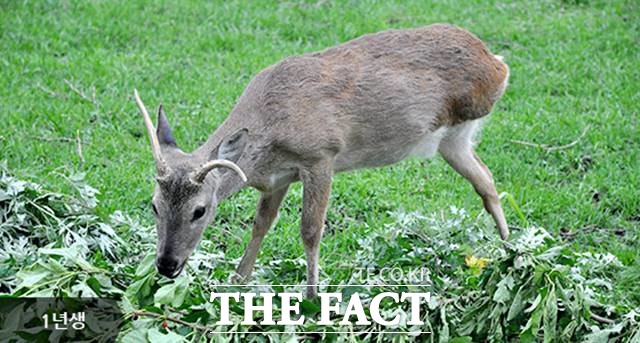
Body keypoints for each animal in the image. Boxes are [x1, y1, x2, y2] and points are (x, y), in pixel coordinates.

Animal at [135, 23, 510, 298]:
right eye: (154, 205)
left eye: (200, 210)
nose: (166, 264)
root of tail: (497, 63)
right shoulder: (277, 179)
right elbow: (261, 224)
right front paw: (236, 281)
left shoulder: (321, 156)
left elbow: (311, 230)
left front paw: (312, 297)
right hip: (452, 141)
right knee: (488, 182)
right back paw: (510, 250)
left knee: (487, 182)